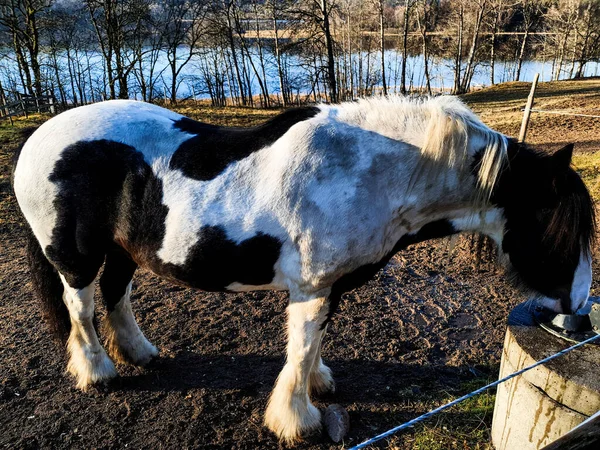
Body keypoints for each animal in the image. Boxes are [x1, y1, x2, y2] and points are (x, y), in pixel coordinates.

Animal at [12, 97, 596, 442]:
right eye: (561, 231)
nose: (579, 312)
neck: (371, 172)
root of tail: (38, 137)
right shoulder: (313, 287)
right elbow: (300, 347)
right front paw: (298, 420)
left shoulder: (328, 288)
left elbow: (313, 346)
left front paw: (319, 384)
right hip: (76, 259)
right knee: (80, 307)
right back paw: (98, 373)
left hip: (123, 251)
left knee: (116, 296)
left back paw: (141, 354)